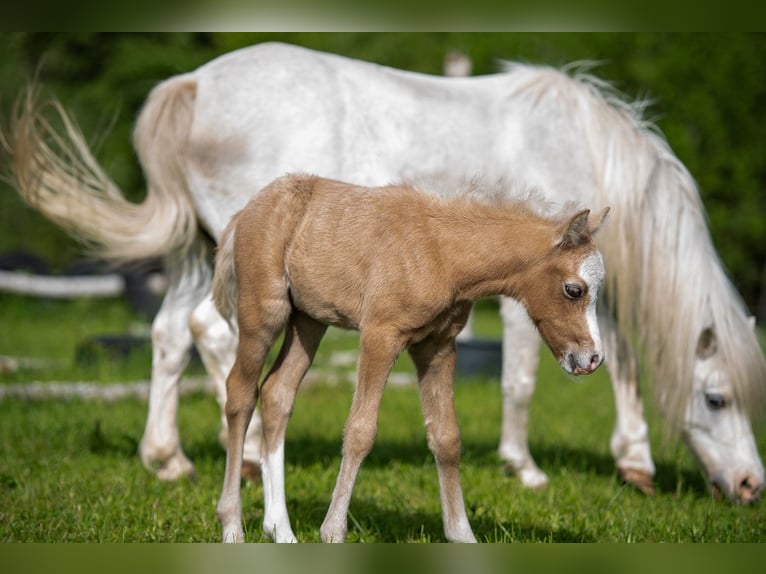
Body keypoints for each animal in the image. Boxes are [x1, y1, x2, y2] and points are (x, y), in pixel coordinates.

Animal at [7, 42, 766, 506]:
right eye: (717, 399)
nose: (750, 487)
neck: (577, 141)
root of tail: (193, 85)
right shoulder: (529, 291)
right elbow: (522, 379)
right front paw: (524, 467)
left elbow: (621, 360)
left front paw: (634, 461)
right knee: (212, 337)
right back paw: (247, 459)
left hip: (202, 251)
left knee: (168, 334)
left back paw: (167, 458)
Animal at [213, 176, 608, 544]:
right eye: (575, 290)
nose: (592, 359)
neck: (443, 253)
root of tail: (246, 210)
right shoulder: (380, 335)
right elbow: (361, 430)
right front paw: (333, 532)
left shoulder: (437, 345)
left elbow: (447, 437)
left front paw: (461, 534)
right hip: (264, 312)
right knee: (240, 394)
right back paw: (232, 526)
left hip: (308, 319)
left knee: (277, 392)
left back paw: (280, 529)